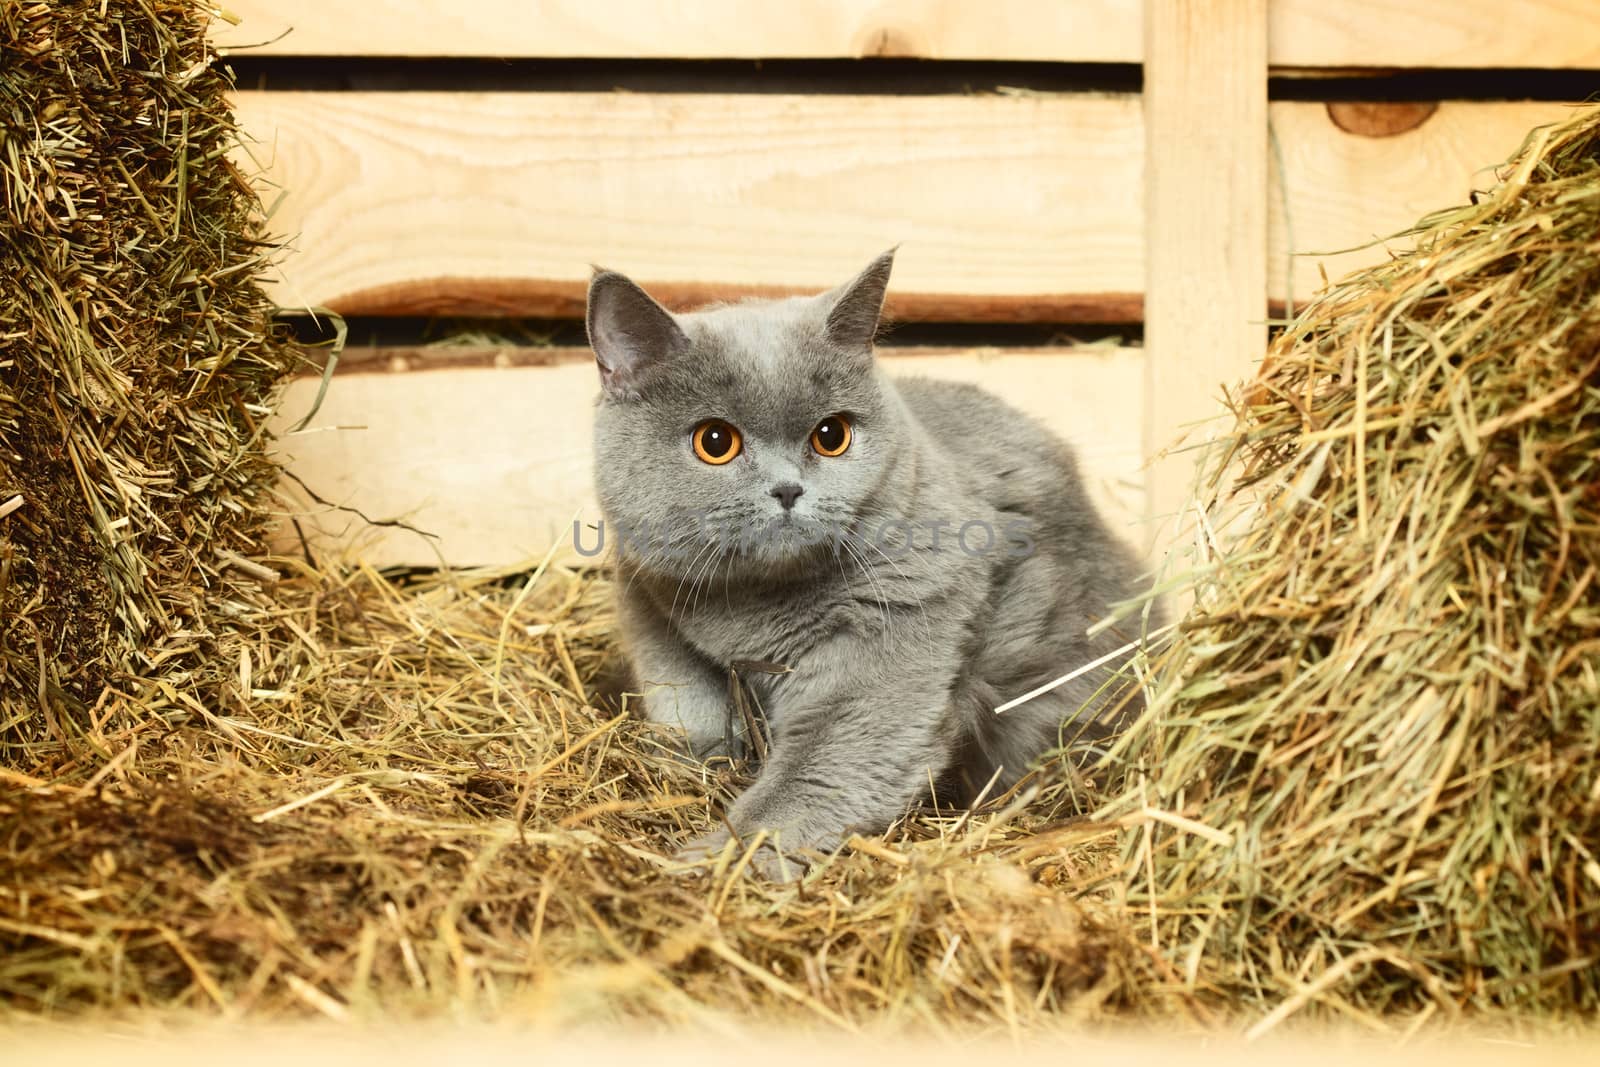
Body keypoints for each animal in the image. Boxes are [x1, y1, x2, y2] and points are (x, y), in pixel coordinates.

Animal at [588, 252, 1152, 876]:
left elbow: (817, 773)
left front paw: (724, 856)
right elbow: (687, 705)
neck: (753, 606)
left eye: (831, 435)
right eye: (716, 442)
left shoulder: (892, 648)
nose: (788, 489)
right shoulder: (650, 607)